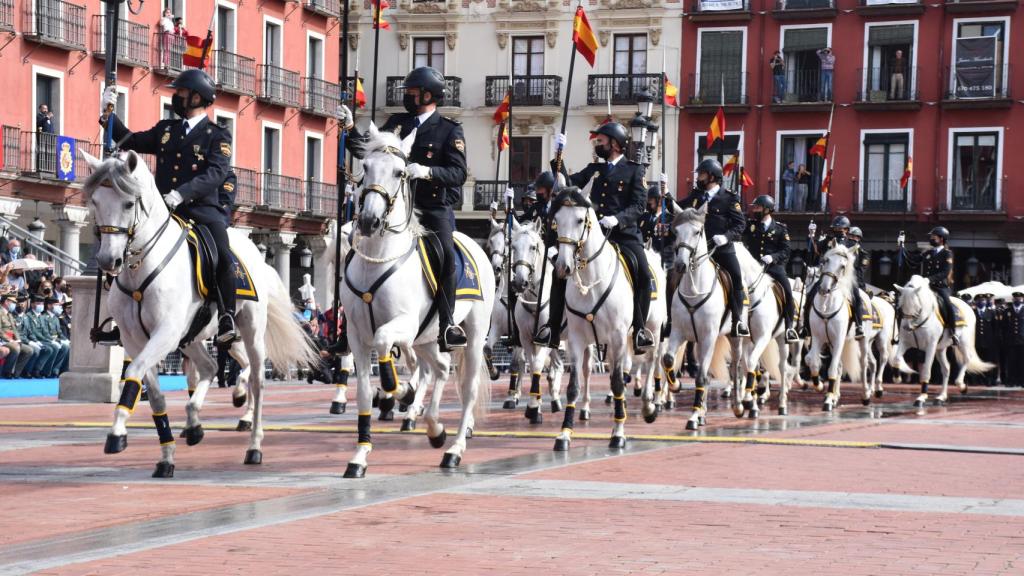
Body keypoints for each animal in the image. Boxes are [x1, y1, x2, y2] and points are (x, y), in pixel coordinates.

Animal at [80, 149, 318, 477]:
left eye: (128, 203)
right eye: (95, 202)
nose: (107, 260)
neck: (141, 268)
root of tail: (255, 254)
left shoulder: (164, 334)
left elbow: (134, 373)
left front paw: (117, 433)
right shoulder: (134, 338)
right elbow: (153, 394)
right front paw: (166, 455)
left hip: (249, 330)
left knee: (256, 380)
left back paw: (254, 444)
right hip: (192, 337)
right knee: (210, 367)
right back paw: (195, 423)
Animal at [339, 123, 494, 476]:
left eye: (400, 172)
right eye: (365, 166)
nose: (368, 221)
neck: (378, 260)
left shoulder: (403, 325)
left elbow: (384, 342)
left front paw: (398, 389)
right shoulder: (356, 335)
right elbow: (363, 393)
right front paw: (359, 455)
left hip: (472, 334)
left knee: (467, 389)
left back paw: (454, 448)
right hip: (427, 337)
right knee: (440, 367)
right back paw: (434, 427)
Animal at [548, 186, 661, 452]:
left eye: (580, 220)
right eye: (556, 220)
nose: (563, 267)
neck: (591, 279)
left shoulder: (619, 337)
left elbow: (618, 382)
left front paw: (618, 433)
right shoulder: (576, 340)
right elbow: (574, 386)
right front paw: (565, 433)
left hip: (652, 330)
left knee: (651, 361)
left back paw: (648, 405)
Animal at [804, 245, 863, 411]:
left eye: (843, 266)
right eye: (826, 260)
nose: (824, 288)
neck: (827, 304)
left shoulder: (838, 340)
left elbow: (831, 368)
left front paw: (828, 399)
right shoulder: (817, 338)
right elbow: (812, 361)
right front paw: (819, 386)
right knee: (839, 367)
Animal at [891, 275, 993, 406]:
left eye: (916, 304)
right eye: (901, 305)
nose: (907, 327)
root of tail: (968, 306)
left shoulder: (931, 345)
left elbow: (926, 370)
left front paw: (921, 397)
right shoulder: (905, 343)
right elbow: (896, 359)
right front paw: (897, 377)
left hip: (963, 342)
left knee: (967, 358)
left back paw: (961, 385)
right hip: (940, 348)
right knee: (946, 369)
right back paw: (941, 397)